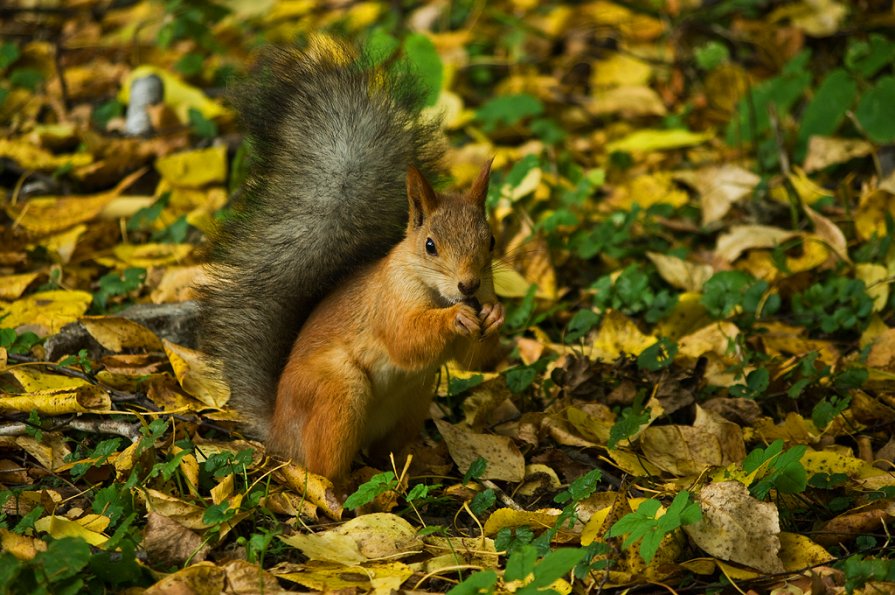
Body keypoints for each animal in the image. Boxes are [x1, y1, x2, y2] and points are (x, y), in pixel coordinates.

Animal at [199, 36, 504, 484]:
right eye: (430, 245)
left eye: (492, 240)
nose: (469, 285)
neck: (432, 290)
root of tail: (281, 433)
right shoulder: (387, 302)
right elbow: (405, 337)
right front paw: (455, 319)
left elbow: (474, 361)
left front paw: (496, 315)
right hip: (338, 393)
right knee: (323, 467)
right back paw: (344, 487)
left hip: (413, 400)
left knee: (386, 451)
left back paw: (414, 463)